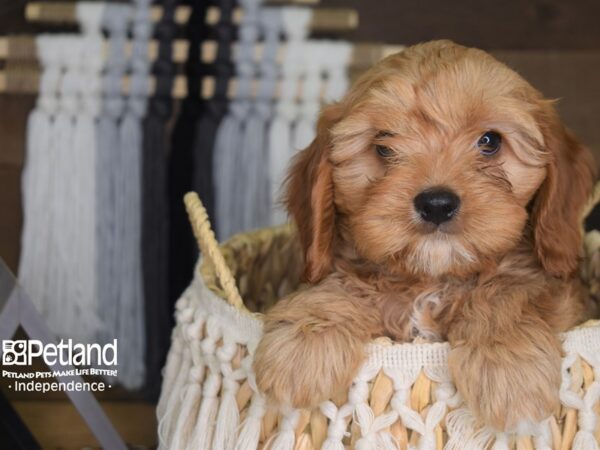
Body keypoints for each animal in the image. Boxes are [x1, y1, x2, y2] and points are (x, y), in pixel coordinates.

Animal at [252, 40, 596, 430]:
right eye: (383, 145)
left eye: (490, 141)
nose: (436, 204)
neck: (431, 282)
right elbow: (341, 282)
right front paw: (304, 340)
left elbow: (512, 291)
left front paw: (507, 363)